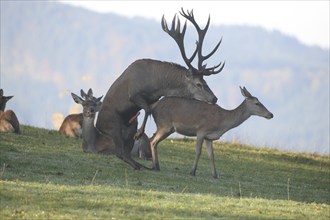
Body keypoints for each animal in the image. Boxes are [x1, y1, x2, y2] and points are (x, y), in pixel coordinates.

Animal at [94, 8, 226, 169]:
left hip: (129, 126)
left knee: (124, 151)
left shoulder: (153, 98)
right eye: (198, 84)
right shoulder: (134, 93)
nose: (214, 98)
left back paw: (140, 165)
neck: (158, 86)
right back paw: (138, 164)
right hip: (112, 125)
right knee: (119, 151)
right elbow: (147, 109)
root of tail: (98, 126)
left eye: (205, 80)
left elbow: (149, 110)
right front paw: (139, 133)